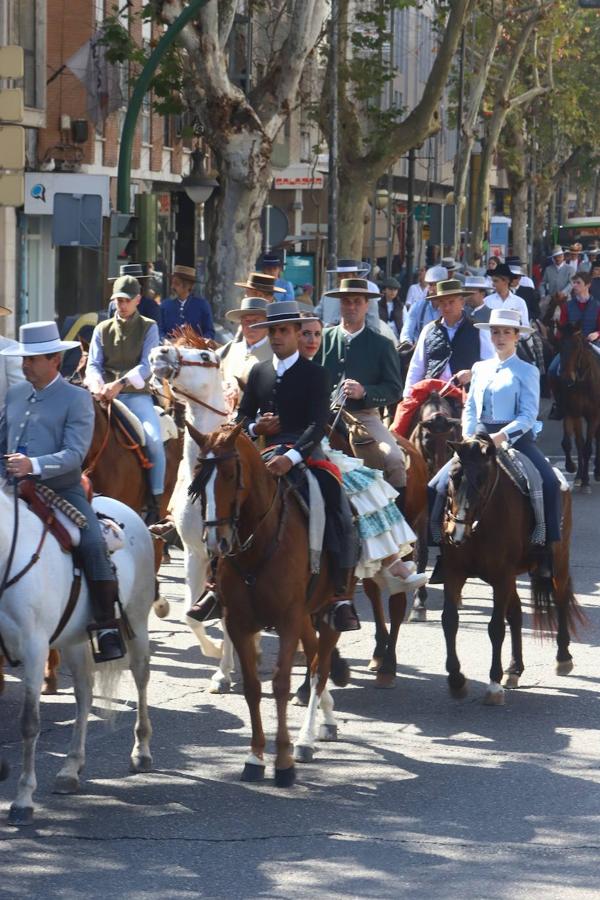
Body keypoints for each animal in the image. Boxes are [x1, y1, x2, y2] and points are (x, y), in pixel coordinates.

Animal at [0, 482, 157, 828]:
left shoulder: (34, 649)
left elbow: (29, 723)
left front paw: (23, 799)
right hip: (72, 639)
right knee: (84, 694)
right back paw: (70, 768)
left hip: (138, 623)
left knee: (141, 678)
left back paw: (141, 751)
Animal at [188, 426, 346, 784]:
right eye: (198, 477)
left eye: (230, 474)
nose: (216, 541)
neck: (258, 544)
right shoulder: (239, 622)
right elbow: (252, 687)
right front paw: (255, 757)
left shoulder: (287, 620)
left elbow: (280, 684)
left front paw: (284, 761)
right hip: (306, 614)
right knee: (314, 656)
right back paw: (326, 719)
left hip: (326, 612)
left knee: (320, 668)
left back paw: (306, 739)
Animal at [440, 432, 580, 708]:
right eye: (453, 476)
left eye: (481, 478)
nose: (455, 532)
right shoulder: (454, 572)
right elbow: (450, 621)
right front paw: (456, 680)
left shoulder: (501, 577)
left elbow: (495, 628)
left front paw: (493, 685)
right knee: (515, 614)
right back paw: (515, 669)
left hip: (558, 562)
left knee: (560, 601)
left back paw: (563, 657)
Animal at [556, 324, 600, 492]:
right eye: (560, 345)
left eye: (577, 346)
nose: (566, 379)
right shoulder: (571, 413)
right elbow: (569, 443)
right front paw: (572, 468)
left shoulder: (594, 416)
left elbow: (587, 448)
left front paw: (587, 481)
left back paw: (596, 472)